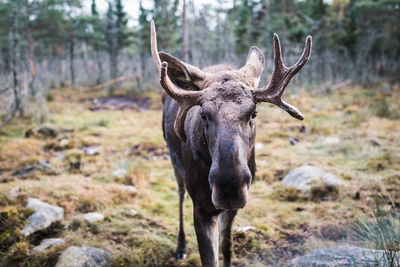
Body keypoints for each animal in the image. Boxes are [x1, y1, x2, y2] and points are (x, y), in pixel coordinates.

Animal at [152, 21, 310, 267]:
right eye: (204, 114)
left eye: (254, 113)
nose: (229, 188)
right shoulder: (201, 206)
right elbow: (209, 258)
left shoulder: (232, 207)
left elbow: (226, 245)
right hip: (174, 160)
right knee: (179, 195)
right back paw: (181, 246)